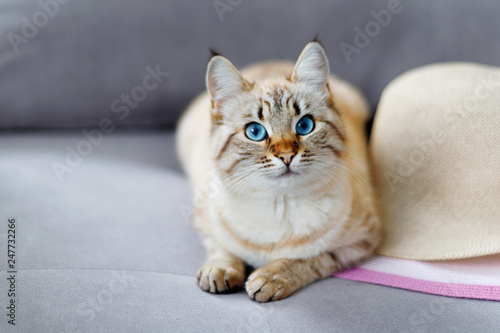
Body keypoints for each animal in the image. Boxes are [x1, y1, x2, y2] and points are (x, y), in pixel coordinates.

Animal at [178, 40, 380, 300]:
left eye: (305, 125)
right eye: (255, 132)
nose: (286, 156)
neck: (279, 204)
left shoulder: (359, 243)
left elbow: (307, 260)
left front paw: (270, 278)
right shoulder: (204, 222)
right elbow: (222, 248)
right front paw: (220, 271)